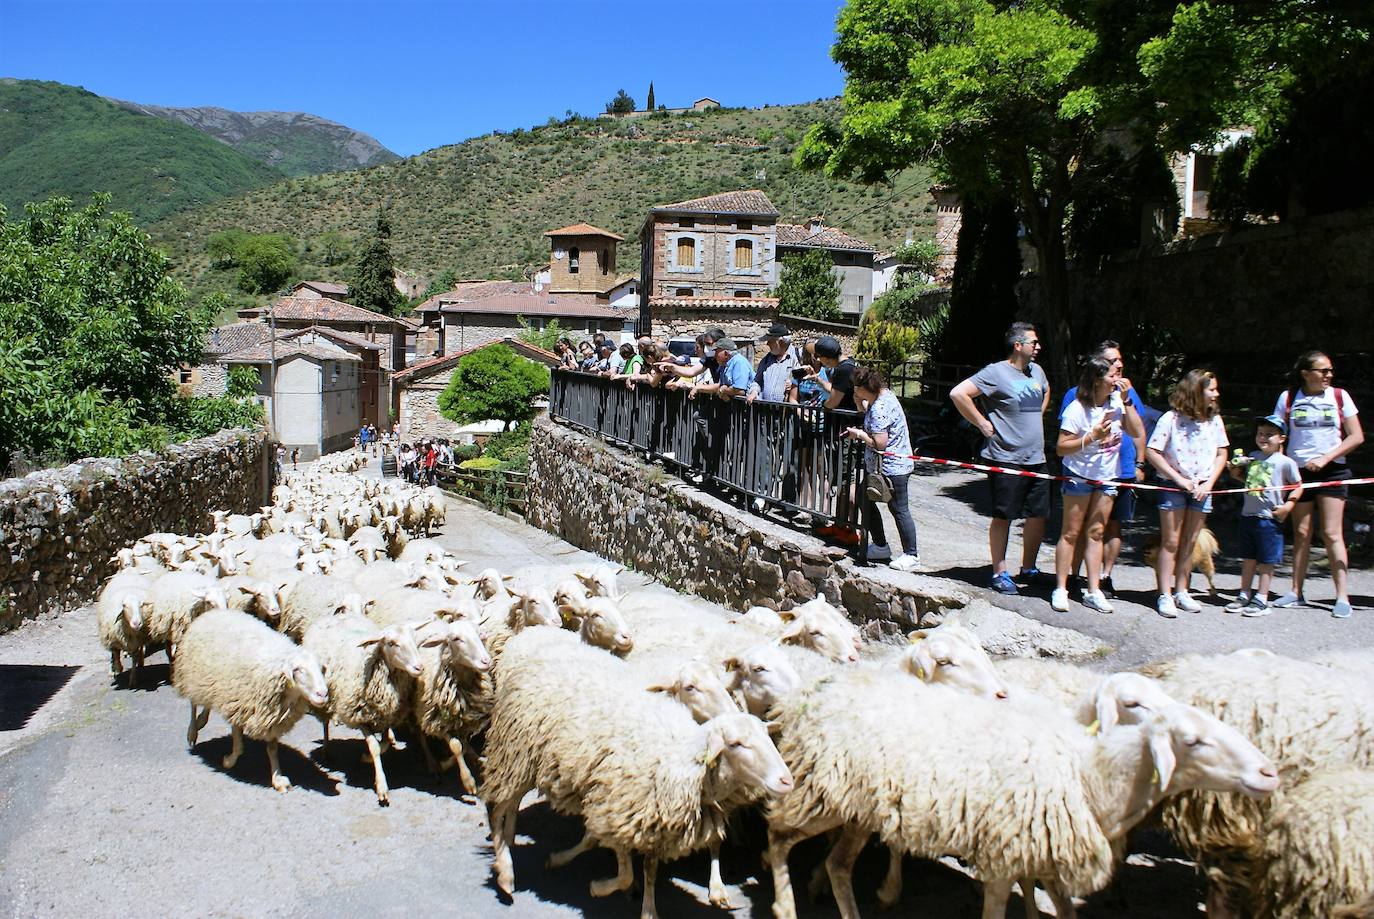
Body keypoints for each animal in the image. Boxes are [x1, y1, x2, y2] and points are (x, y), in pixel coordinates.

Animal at [173, 609, 328, 791]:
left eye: (321, 669)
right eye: (298, 670)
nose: (323, 694)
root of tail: (216, 611)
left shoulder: (271, 717)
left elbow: (272, 749)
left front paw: (277, 778)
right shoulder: (238, 706)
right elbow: (239, 746)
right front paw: (228, 761)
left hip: (212, 683)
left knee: (207, 702)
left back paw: (201, 720)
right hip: (192, 674)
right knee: (193, 704)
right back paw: (193, 731)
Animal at [302, 612, 420, 807]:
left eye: (414, 640)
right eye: (391, 643)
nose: (419, 667)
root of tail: (334, 616)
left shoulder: (387, 715)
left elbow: (384, 743)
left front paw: (369, 756)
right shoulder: (359, 717)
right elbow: (375, 747)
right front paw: (381, 787)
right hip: (322, 696)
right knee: (325, 723)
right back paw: (326, 749)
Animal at [480, 623, 796, 917]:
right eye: (736, 744)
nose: (786, 781)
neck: (680, 755)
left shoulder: (651, 818)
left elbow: (651, 867)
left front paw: (650, 906)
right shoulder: (615, 807)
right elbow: (623, 871)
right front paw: (597, 885)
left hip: (525, 757)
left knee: (510, 802)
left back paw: (509, 839)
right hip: (516, 751)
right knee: (497, 806)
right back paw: (505, 871)